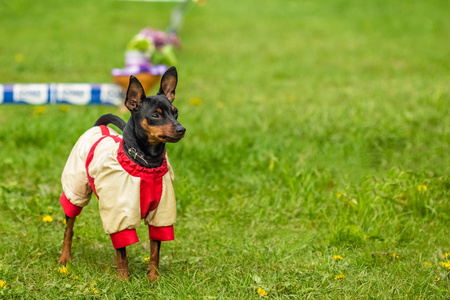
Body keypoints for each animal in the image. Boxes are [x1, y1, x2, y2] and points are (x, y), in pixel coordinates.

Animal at [58, 67, 185, 280]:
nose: (181, 129)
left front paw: (153, 278)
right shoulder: (119, 215)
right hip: (76, 190)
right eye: (155, 116)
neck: (147, 165)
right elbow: (122, 252)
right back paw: (64, 259)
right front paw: (123, 280)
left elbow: (155, 251)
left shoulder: (161, 215)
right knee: (69, 228)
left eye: (175, 113)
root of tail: (99, 127)